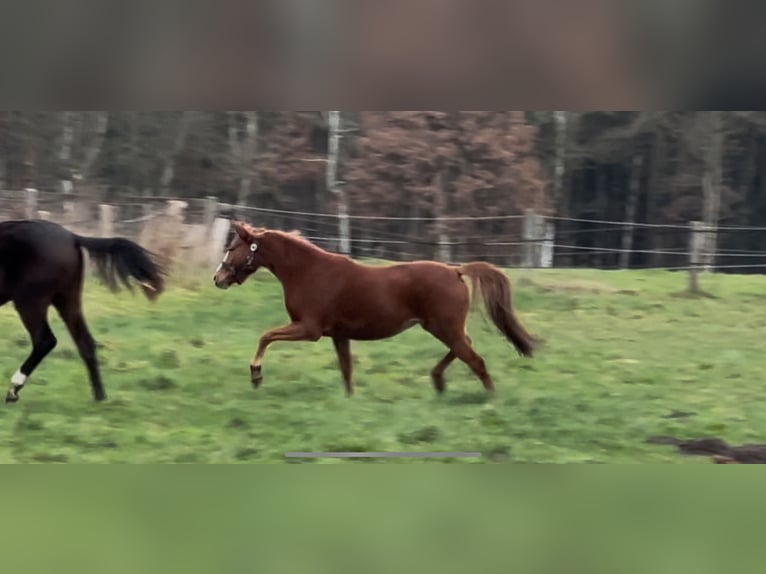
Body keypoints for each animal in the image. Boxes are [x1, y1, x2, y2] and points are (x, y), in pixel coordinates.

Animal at [0, 220, 165, 404]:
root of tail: (72, 237)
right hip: (66, 299)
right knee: (85, 342)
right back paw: (100, 397)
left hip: (30, 301)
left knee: (45, 340)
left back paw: (13, 389)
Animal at [214, 220, 540, 396]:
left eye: (231, 248)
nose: (218, 278)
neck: (309, 272)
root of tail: (455, 270)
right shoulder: (338, 335)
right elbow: (346, 371)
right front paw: (349, 401)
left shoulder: (309, 329)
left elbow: (265, 336)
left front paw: (256, 375)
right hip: (443, 327)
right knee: (464, 350)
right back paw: (437, 380)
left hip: (444, 327)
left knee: (475, 360)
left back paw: (490, 401)